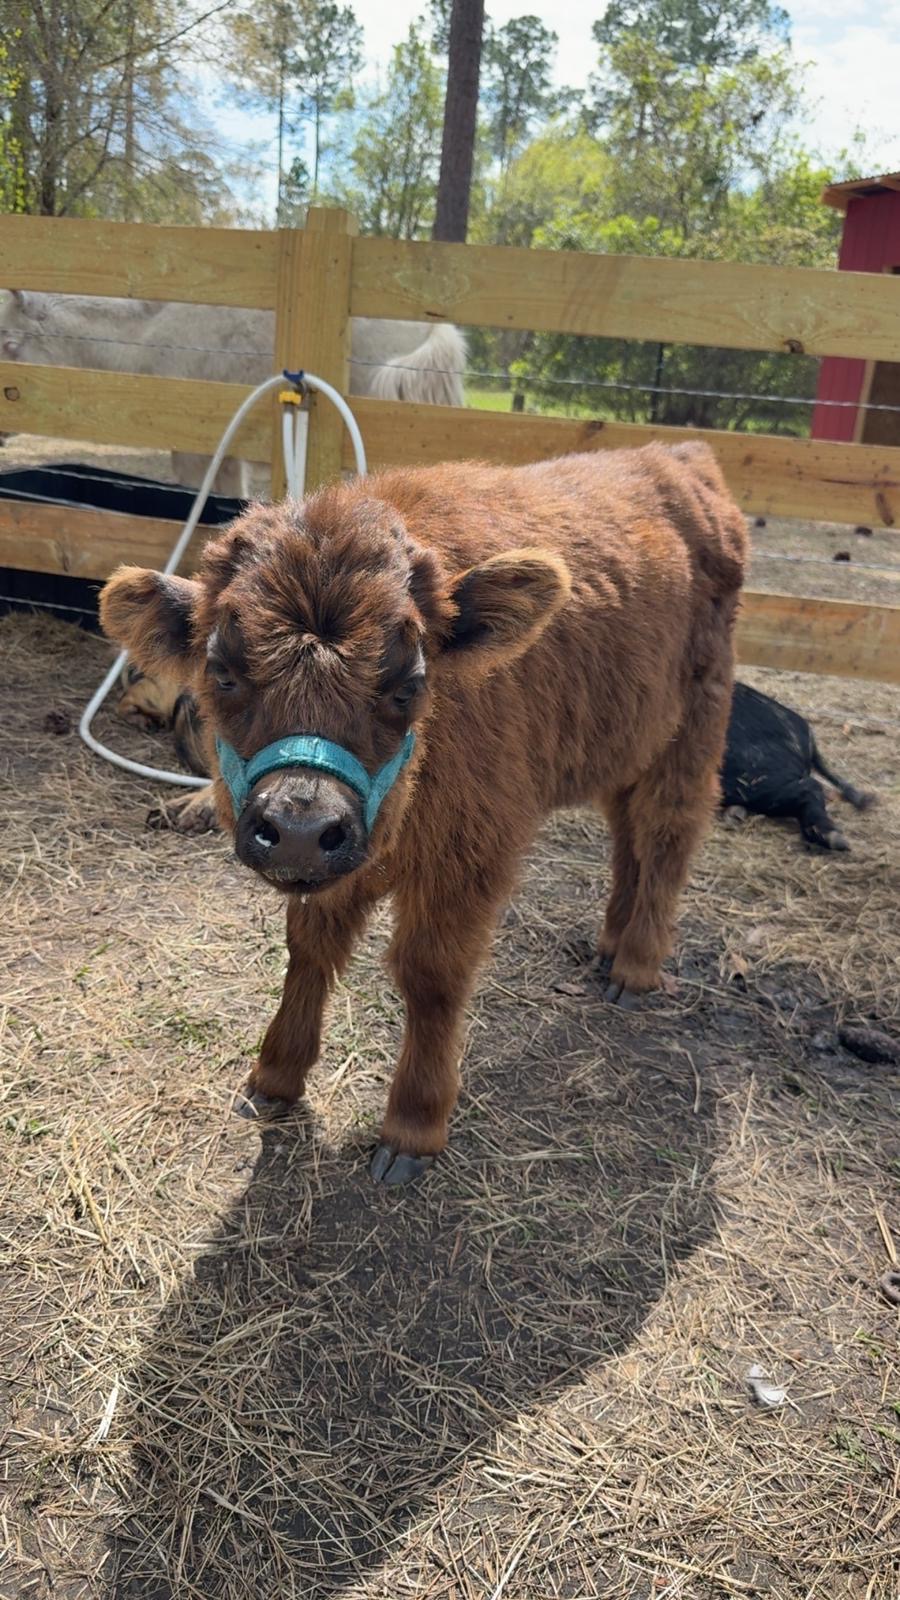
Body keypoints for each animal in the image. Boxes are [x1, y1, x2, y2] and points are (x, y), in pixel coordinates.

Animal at [100, 442, 747, 1185]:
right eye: (223, 673)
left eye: (408, 683)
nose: (298, 830)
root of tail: (676, 457)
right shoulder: (338, 867)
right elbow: (309, 948)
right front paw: (274, 1078)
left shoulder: (468, 861)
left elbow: (431, 976)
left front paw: (412, 1128)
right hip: (627, 738)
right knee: (627, 836)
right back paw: (611, 946)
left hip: (694, 728)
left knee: (669, 829)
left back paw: (636, 968)